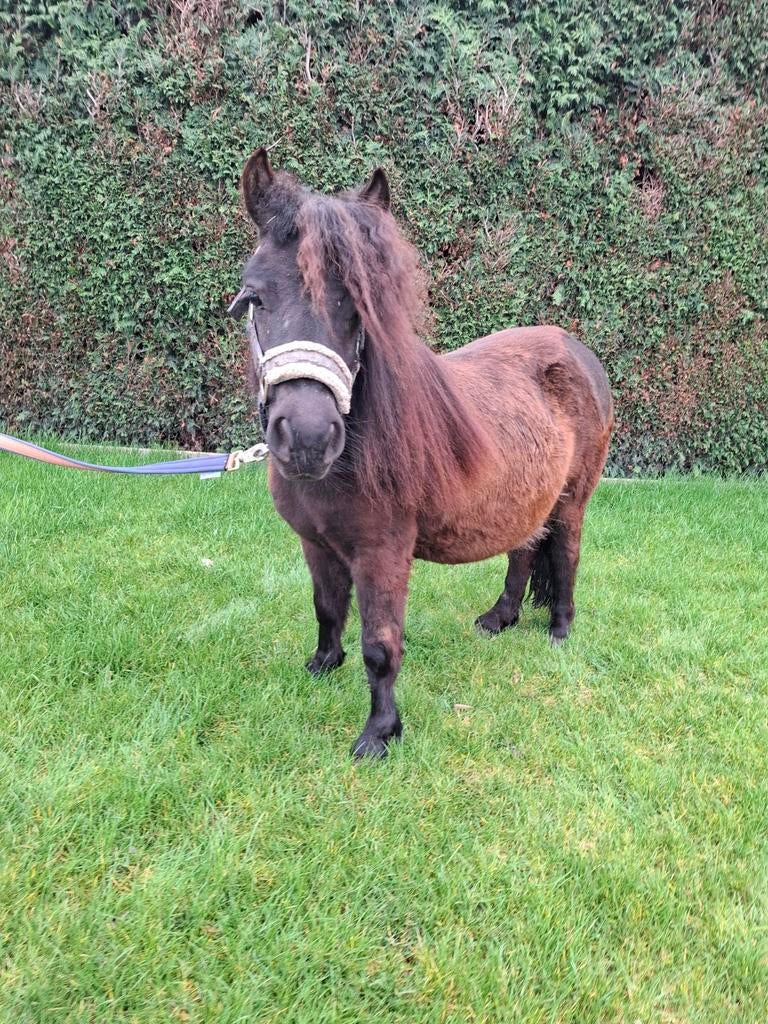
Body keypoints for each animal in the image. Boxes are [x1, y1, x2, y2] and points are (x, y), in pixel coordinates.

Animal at [228, 148, 614, 759]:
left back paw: (558, 630)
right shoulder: (316, 544)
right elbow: (326, 609)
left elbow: (381, 646)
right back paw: (498, 619)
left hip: (572, 502)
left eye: (360, 304)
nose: (309, 439)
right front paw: (322, 665)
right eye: (255, 298)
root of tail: (577, 350)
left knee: (566, 555)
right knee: (523, 548)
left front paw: (379, 734)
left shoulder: (382, 552)